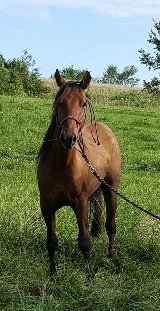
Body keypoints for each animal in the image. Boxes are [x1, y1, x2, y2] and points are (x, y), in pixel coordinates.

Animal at [37, 69, 120, 274]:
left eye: (83, 103)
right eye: (59, 102)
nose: (69, 138)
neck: (62, 166)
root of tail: (105, 129)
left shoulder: (80, 203)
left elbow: (84, 242)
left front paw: (90, 276)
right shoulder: (47, 206)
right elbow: (51, 242)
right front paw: (53, 275)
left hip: (111, 188)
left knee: (111, 225)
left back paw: (112, 257)